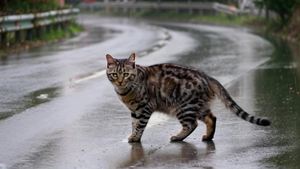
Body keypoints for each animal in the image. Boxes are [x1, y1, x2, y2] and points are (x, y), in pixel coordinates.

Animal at [105, 53, 270, 143]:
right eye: (115, 74)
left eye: (126, 74)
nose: (120, 81)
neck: (125, 92)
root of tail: (207, 76)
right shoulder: (135, 110)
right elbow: (134, 124)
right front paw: (133, 136)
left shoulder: (144, 108)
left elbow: (139, 125)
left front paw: (135, 138)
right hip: (198, 106)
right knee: (212, 118)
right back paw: (208, 136)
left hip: (184, 107)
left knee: (192, 124)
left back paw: (178, 137)